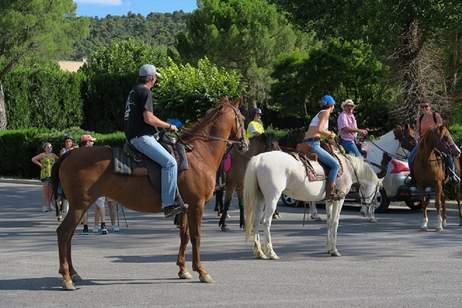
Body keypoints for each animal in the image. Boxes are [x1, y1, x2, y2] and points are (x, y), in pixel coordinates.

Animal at [52, 102, 247, 290]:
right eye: (243, 118)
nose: (245, 144)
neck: (199, 154)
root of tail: (70, 153)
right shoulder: (197, 205)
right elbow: (196, 236)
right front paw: (201, 271)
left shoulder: (185, 207)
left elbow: (184, 236)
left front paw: (182, 269)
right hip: (79, 206)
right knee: (64, 233)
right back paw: (67, 278)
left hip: (80, 206)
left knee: (69, 236)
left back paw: (74, 273)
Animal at [244, 150, 380, 258]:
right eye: (377, 193)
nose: (367, 212)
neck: (348, 168)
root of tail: (259, 159)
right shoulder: (339, 199)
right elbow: (335, 222)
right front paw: (334, 250)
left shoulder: (329, 201)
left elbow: (329, 222)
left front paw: (329, 248)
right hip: (272, 198)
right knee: (266, 222)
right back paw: (271, 253)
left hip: (261, 198)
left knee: (256, 221)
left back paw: (259, 252)